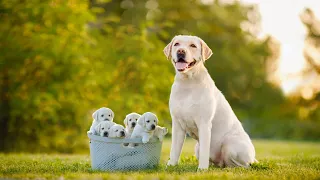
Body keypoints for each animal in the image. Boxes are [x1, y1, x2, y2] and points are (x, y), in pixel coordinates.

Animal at [164, 35, 256, 170]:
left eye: (193, 45)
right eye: (176, 44)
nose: (181, 51)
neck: (187, 82)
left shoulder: (204, 123)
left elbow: (204, 151)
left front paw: (202, 169)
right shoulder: (177, 124)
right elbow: (174, 150)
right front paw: (171, 166)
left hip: (230, 146)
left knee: (242, 165)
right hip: (197, 148)